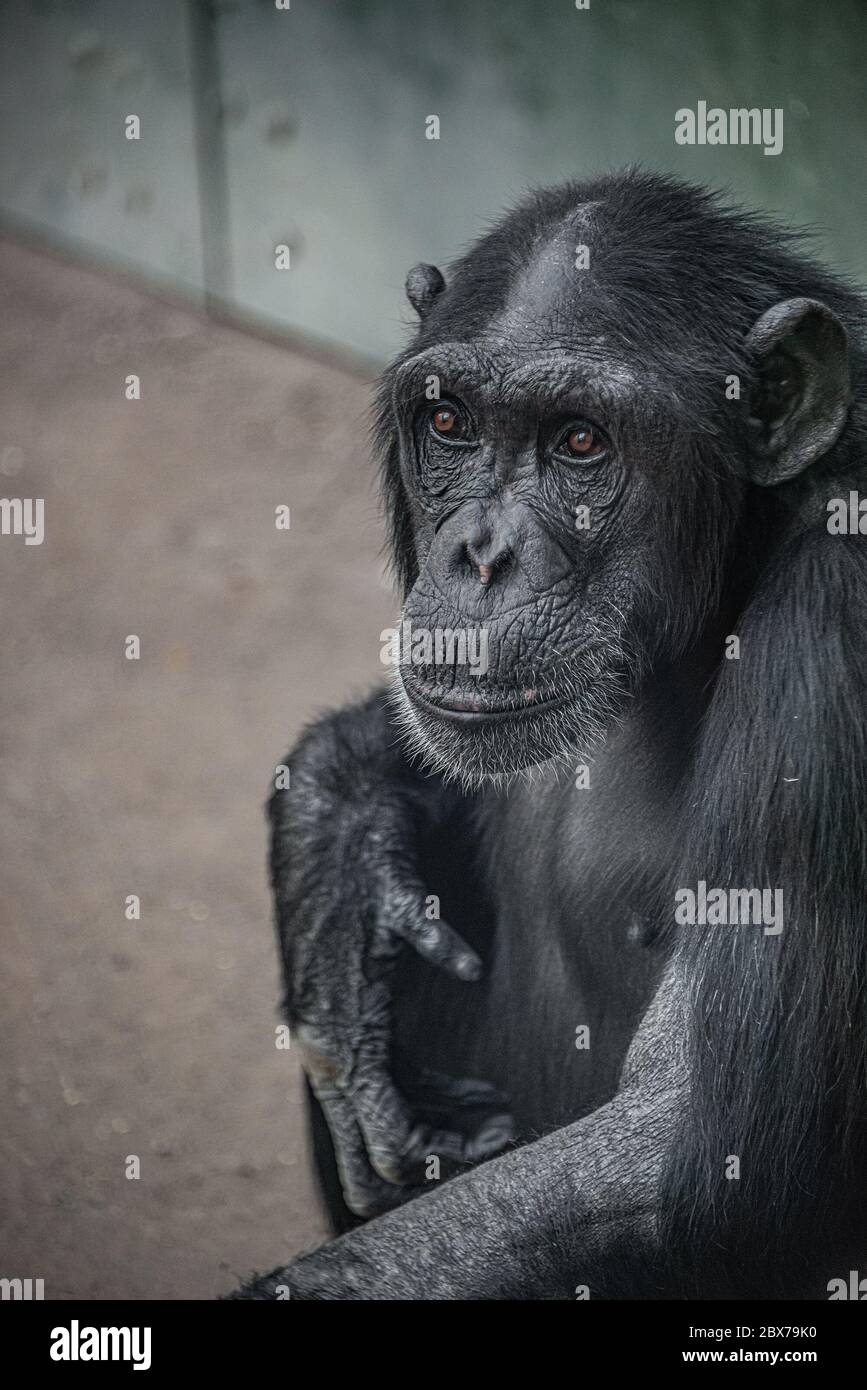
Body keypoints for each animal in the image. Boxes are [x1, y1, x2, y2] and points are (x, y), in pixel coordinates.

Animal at [237, 168, 867, 1295]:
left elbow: (683, 1152)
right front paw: (340, 861)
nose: (480, 555)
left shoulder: (838, 625)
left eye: (580, 440)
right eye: (448, 422)